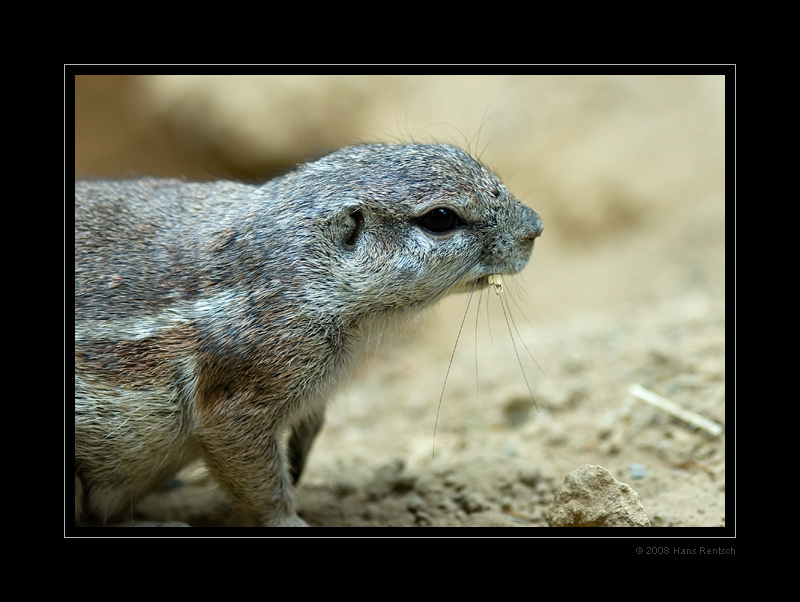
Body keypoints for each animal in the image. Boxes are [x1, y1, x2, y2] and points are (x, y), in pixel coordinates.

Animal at [75, 142, 544, 524]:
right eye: (441, 218)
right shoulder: (246, 390)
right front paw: (289, 521)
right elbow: (258, 479)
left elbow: (309, 428)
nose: (535, 227)